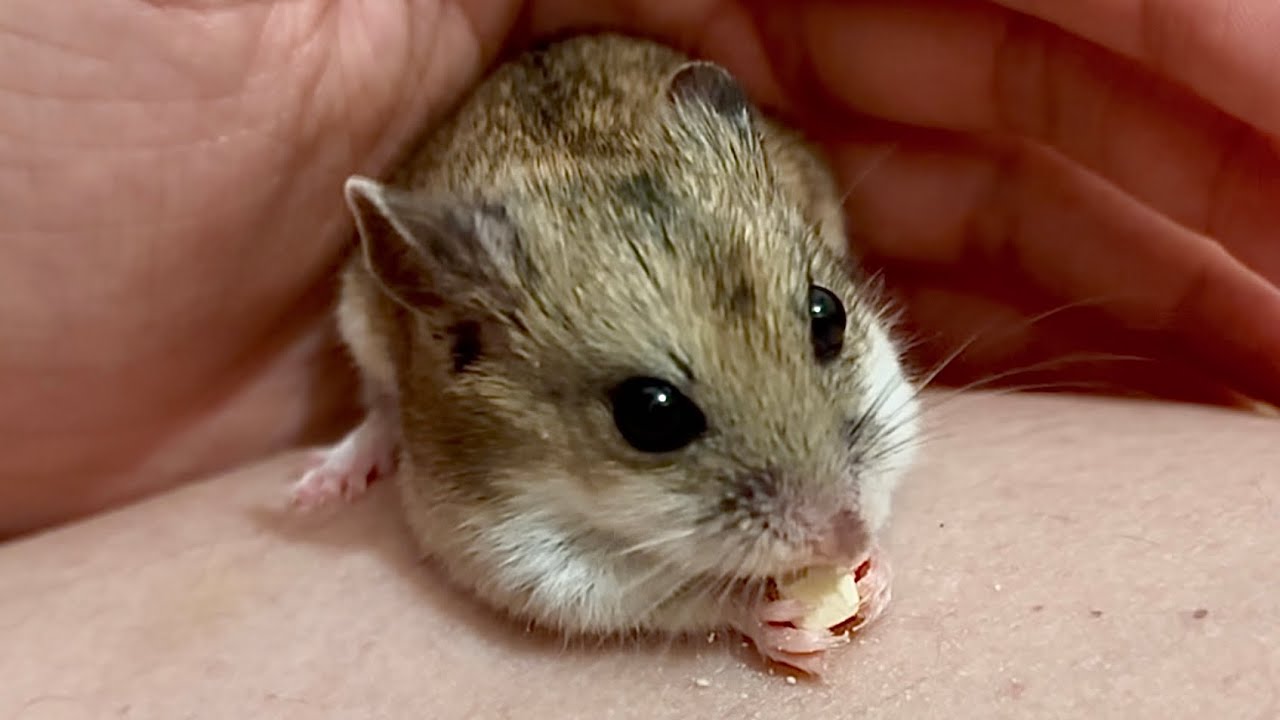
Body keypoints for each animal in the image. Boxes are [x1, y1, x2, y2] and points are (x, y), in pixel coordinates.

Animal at [289, 33, 922, 675]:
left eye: (828, 314)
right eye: (650, 414)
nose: (848, 537)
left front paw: (875, 579)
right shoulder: (532, 560)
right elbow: (685, 596)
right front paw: (783, 621)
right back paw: (316, 488)